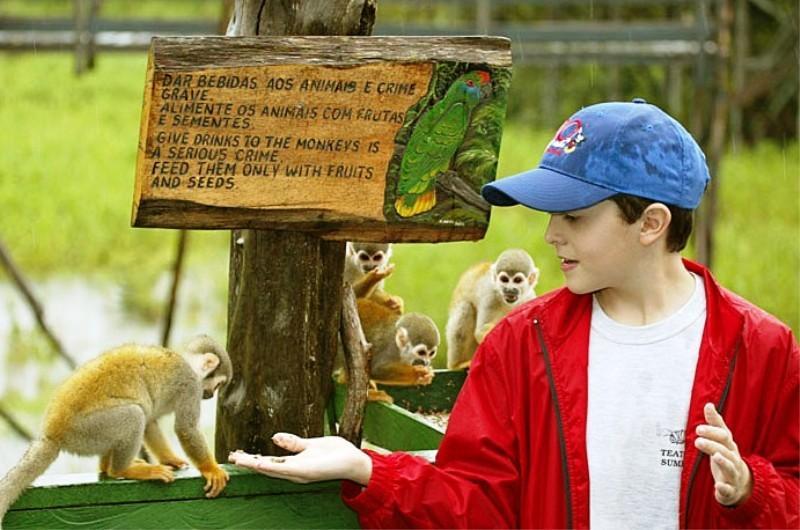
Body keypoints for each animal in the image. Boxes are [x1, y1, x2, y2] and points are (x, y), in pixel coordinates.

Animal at [0, 334, 231, 520]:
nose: (210, 395)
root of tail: (51, 433)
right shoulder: (190, 384)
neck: (188, 364)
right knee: (134, 415)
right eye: (218, 384)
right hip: (85, 430)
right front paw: (211, 469)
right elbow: (186, 428)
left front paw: (170, 459)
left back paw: (108, 467)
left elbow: (151, 422)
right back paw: (122, 469)